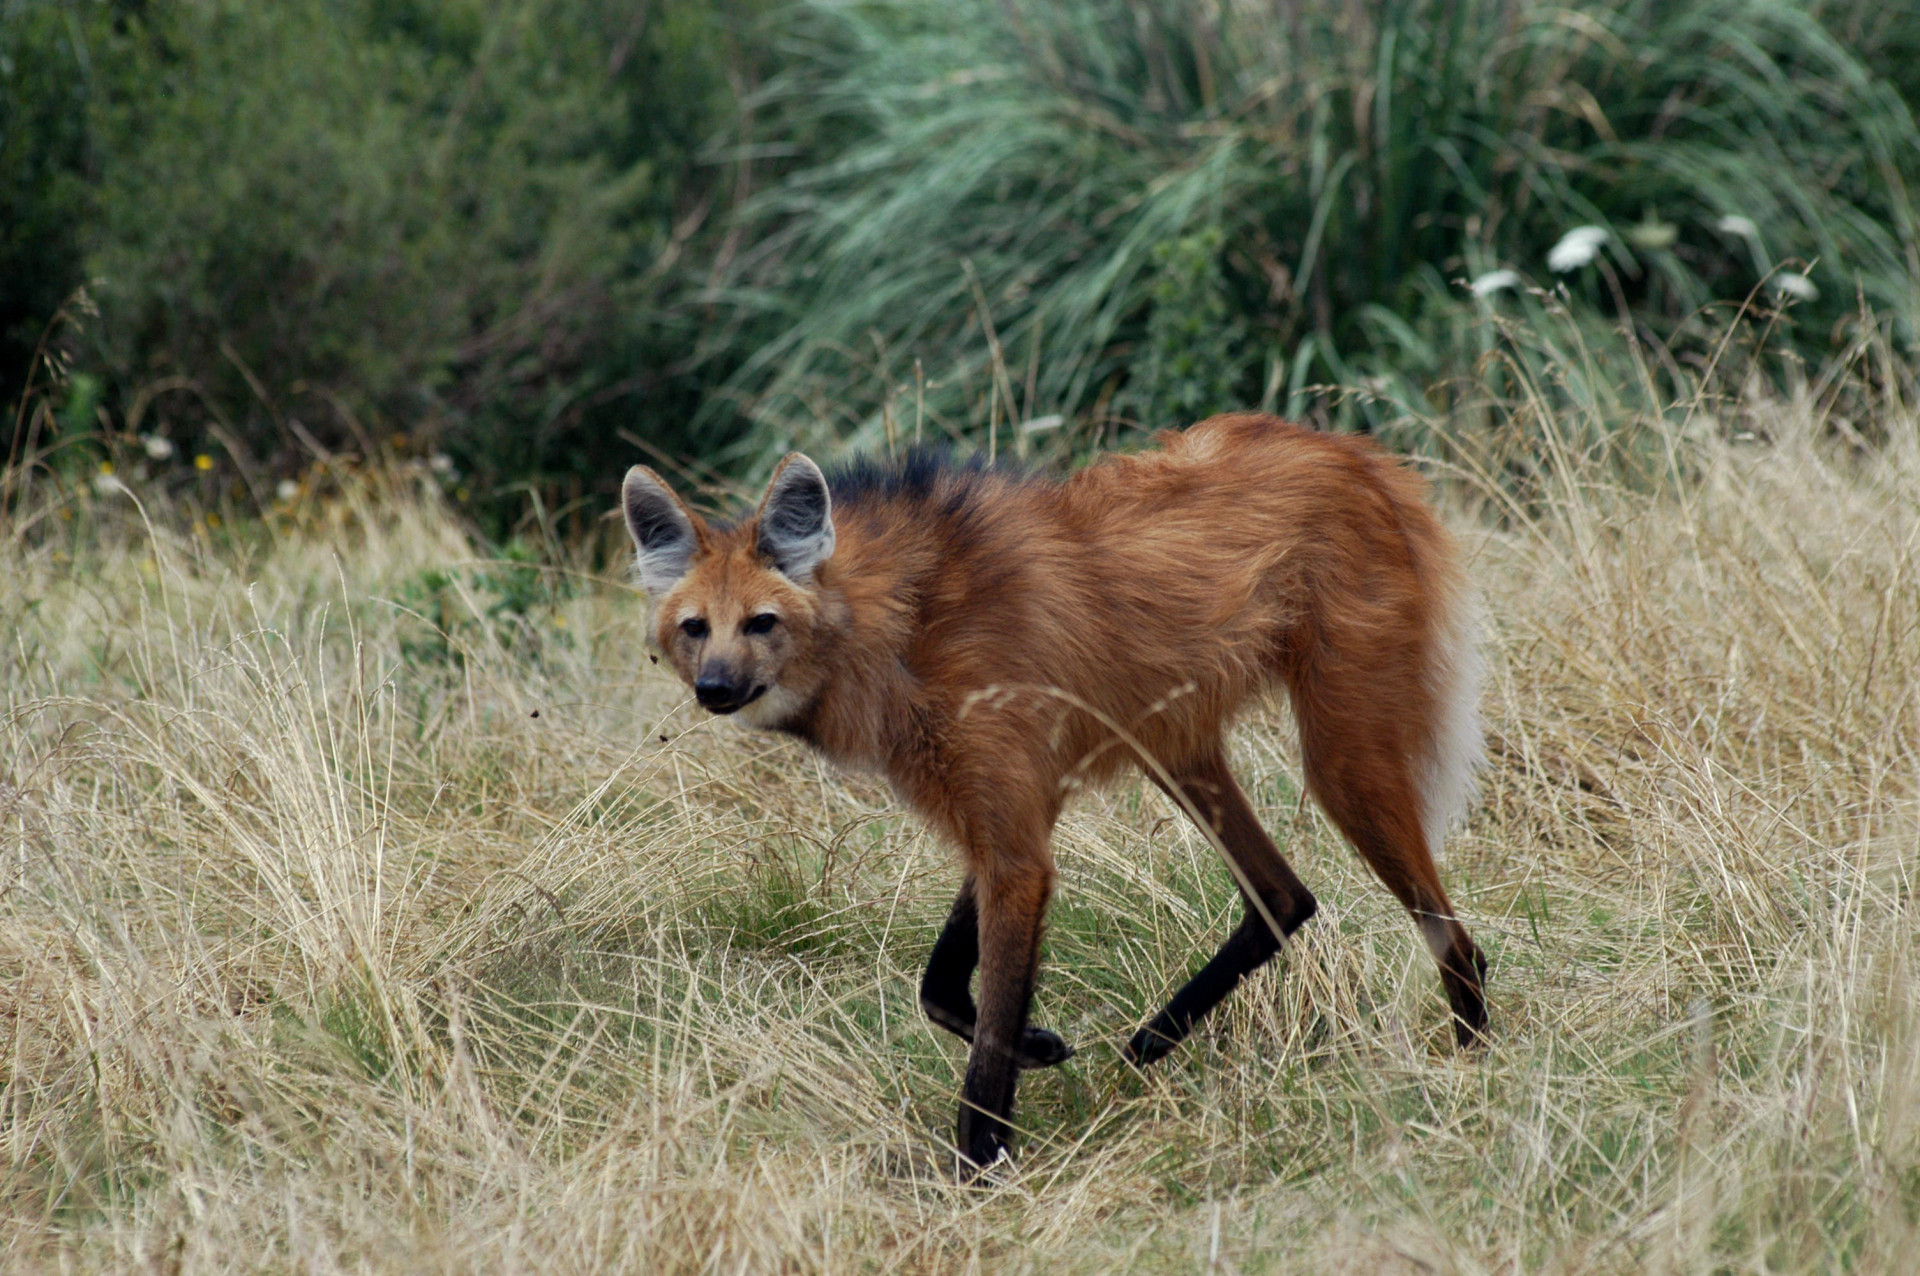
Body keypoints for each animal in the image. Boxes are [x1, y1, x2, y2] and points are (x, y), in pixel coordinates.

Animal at [622, 412, 1489, 1166]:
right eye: (695, 628)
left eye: (761, 622)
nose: (714, 689)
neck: (901, 628)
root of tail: (1353, 452)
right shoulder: (1011, 811)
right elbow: (940, 985)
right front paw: (1038, 1047)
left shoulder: (1014, 839)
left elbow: (983, 1045)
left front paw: (980, 1173)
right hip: (1173, 747)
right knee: (1283, 896)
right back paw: (1152, 1040)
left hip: (1342, 761)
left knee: (1454, 939)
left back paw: (1474, 1068)